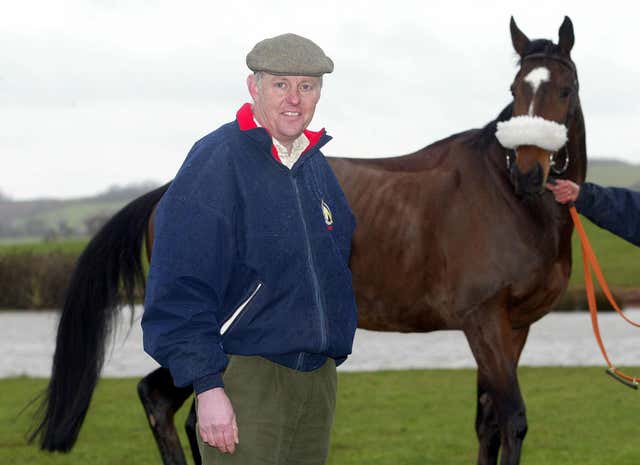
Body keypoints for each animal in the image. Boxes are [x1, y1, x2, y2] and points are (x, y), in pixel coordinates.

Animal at [32, 16, 588, 464]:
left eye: (565, 88)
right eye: (516, 88)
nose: (530, 171)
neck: (507, 199)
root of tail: (166, 192)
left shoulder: (512, 328)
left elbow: (488, 424)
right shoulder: (483, 321)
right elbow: (513, 420)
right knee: (166, 402)